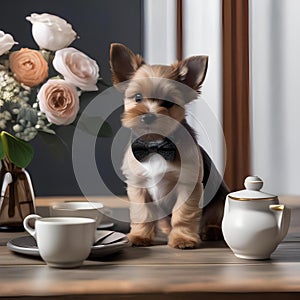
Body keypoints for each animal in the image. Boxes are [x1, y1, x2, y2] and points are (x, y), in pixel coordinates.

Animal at [110, 42, 230, 248]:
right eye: (138, 97)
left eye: (168, 102)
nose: (148, 116)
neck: (155, 145)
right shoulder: (138, 186)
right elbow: (142, 214)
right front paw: (140, 236)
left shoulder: (187, 186)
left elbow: (183, 215)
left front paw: (183, 239)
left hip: (220, 200)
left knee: (215, 218)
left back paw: (211, 231)